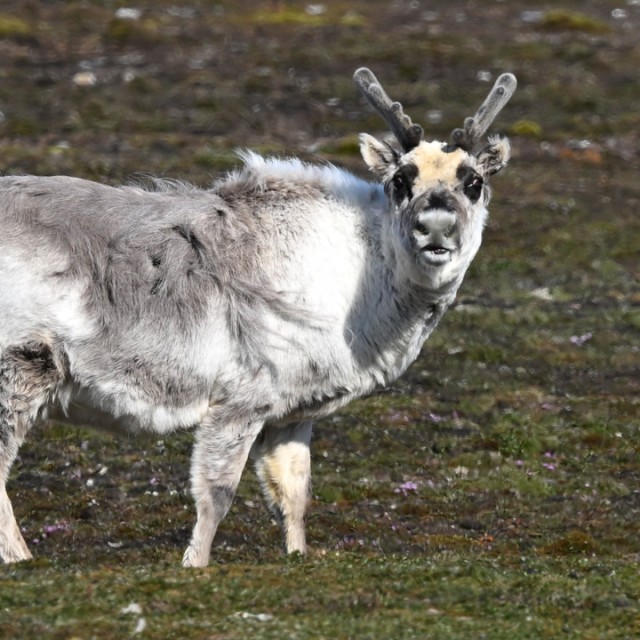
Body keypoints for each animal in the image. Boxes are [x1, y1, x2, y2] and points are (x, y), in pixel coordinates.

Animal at [0, 67, 517, 566]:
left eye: (474, 182)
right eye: (400, 181)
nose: (435, 228)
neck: (361, 272)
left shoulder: (291, 413)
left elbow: (294, 495)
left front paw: (297, 556)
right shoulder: (242, 398)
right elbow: (216, 495)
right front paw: (194, 564)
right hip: (23, 367)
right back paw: (22, 558)